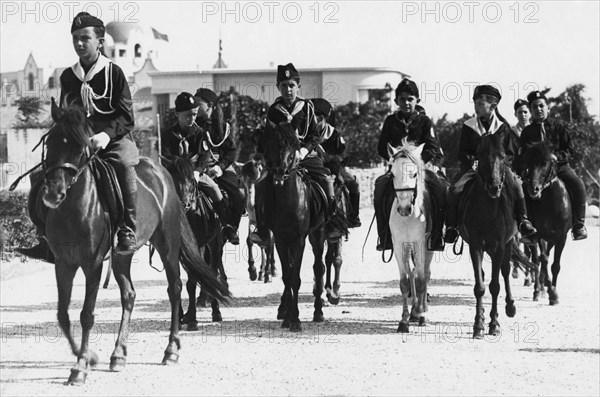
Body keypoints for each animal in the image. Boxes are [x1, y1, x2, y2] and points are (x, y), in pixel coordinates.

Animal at [38, 101, 230, 384]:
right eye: (49, 143)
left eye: (80, 147)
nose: (53, 193)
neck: (74, 209)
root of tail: (162, 173)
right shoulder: (64, 264)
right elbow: (62, 315)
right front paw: (90, 356)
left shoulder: (92, 264)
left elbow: (86, 314)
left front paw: (81, 365)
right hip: (121, 256)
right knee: (129, 294)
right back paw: (119, 354)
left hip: (168, 244)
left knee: (175, 288)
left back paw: (171, 350)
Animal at [520, 141, 572, 304]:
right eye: (528, 162)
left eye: (545, 163)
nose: (533, 189)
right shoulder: (539, 235)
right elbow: (543, 260)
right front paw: (551, 292)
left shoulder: (561, 237)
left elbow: (555, 265)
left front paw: (553, 293)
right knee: (537, 261)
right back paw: (538, 290)